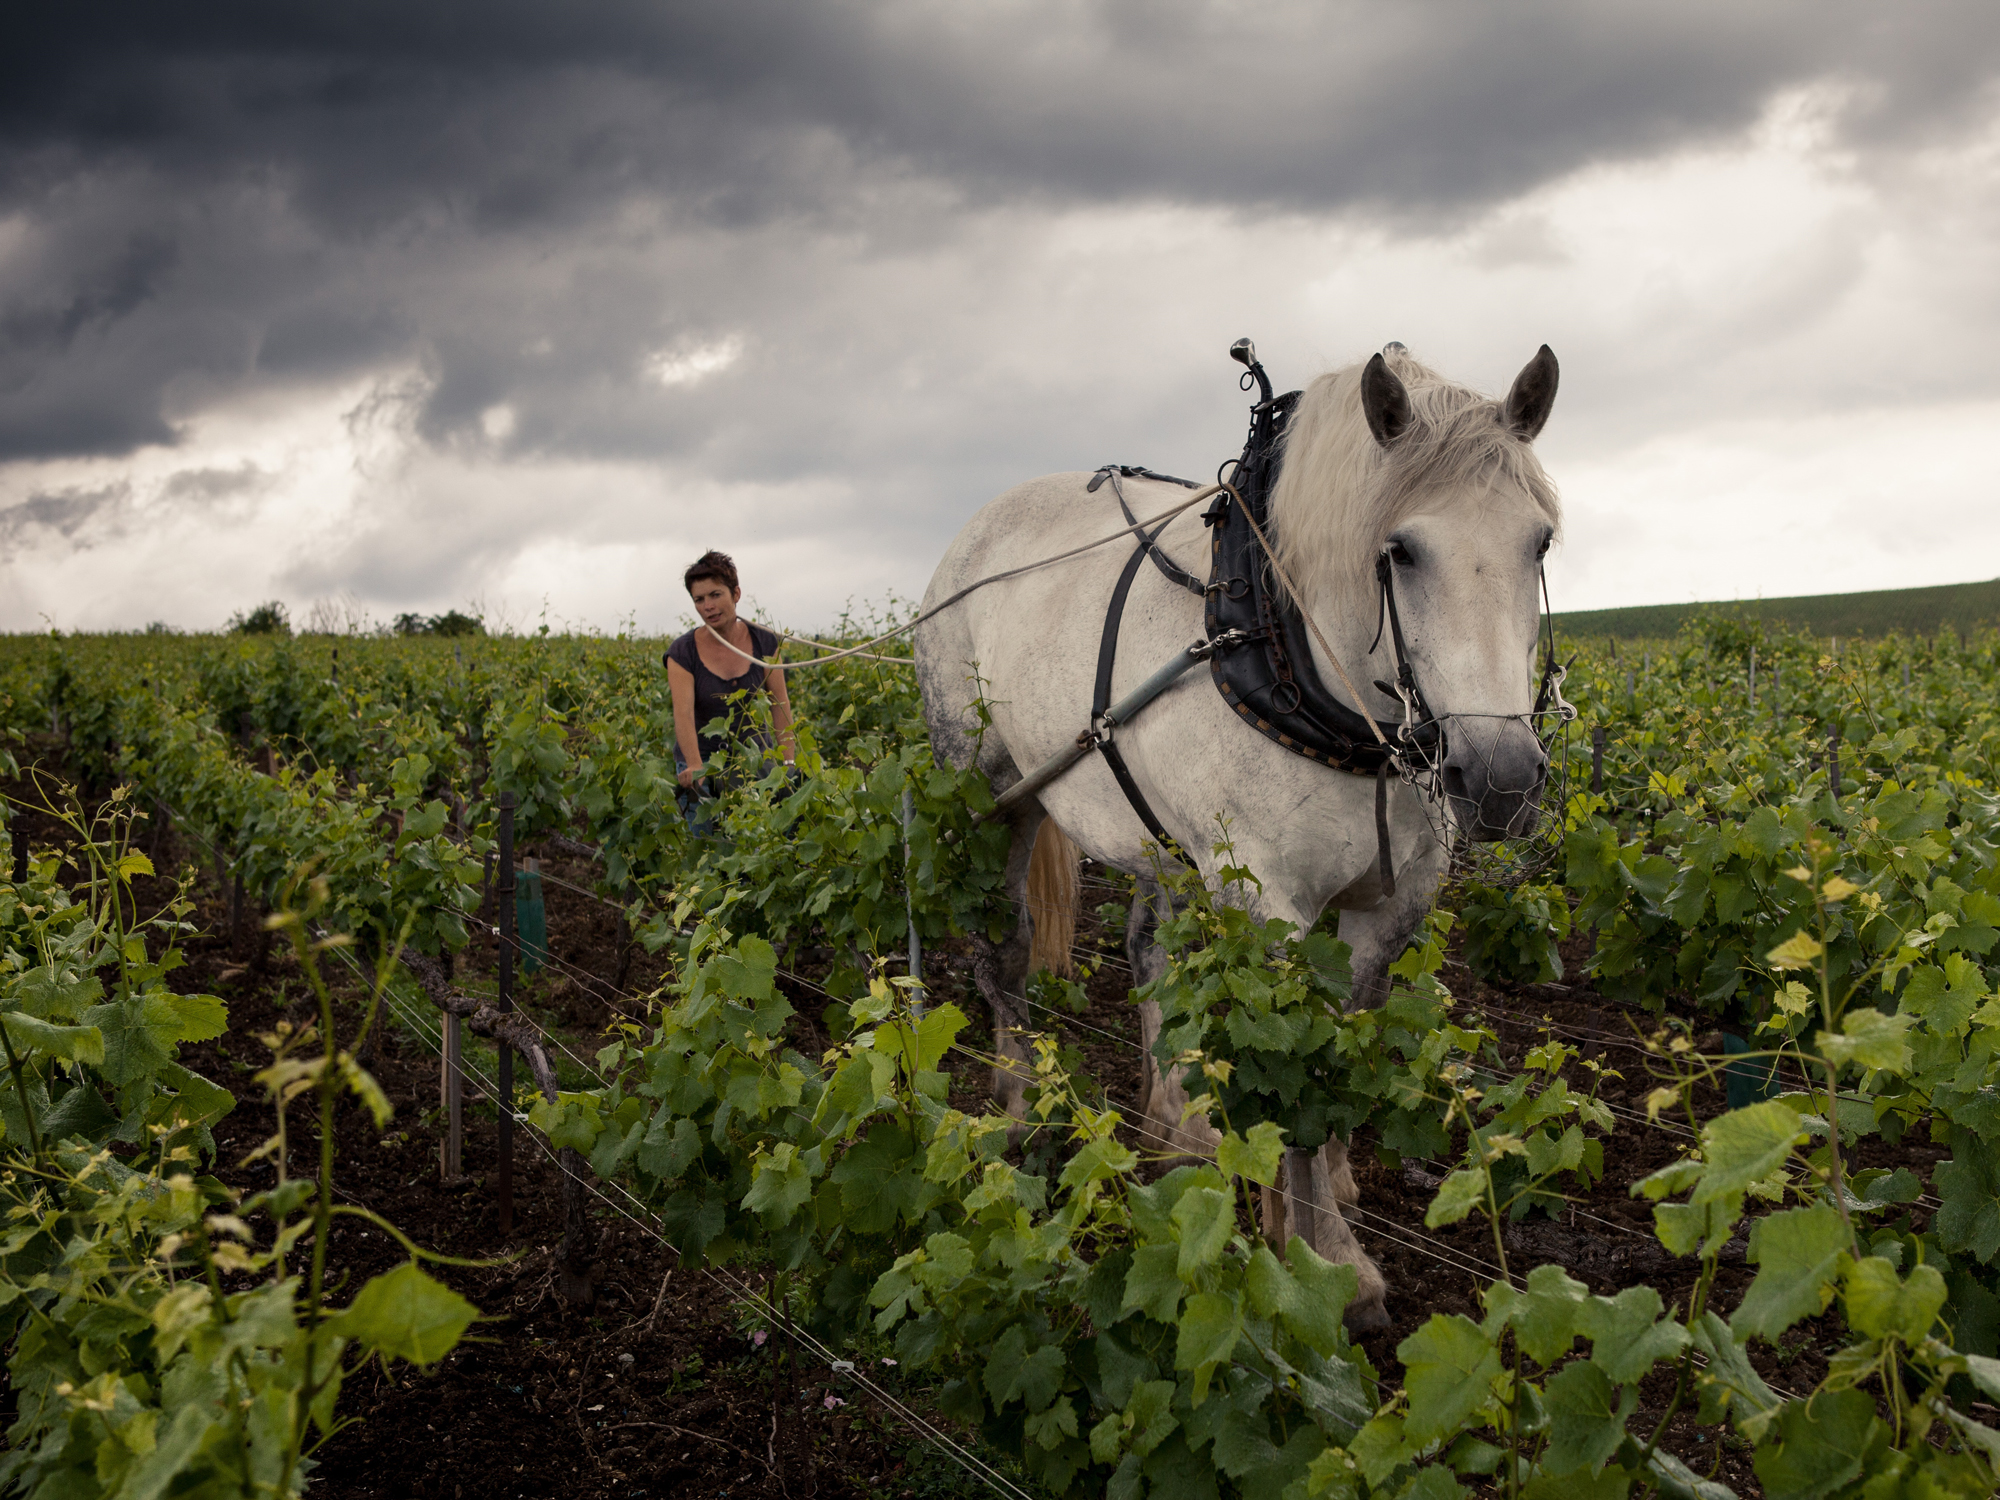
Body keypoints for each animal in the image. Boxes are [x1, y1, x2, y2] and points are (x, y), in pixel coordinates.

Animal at [916, 346, 1560, 1336]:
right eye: (1401, 550)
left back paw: (1179, 1124)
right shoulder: (1270, 906)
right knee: (1004, 951)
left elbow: (1347, 1045)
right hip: (989, 790)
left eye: (1541, 543)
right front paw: (1328, 1263)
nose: (1499, 778)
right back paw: (1019, 1107)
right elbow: (1297, 1065)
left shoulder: (1392, 904)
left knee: (1147, 951)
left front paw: (1325, 1193)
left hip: (1158, 837)